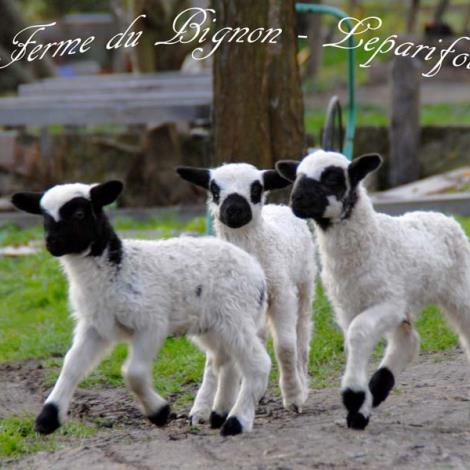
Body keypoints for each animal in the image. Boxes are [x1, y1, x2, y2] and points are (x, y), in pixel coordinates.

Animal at [11, 181, 272, 436]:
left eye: (79, 213)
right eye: (44, 218)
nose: (51, 243)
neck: (117, 266)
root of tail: (256, 270)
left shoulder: (151, 322)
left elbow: (133, 373)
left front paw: (159, 413)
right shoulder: (95, 326)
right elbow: (71, 366)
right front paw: (47, 419)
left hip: (235, 313)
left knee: (257, 363)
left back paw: (236, 422)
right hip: (210, 324)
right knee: (225, 360)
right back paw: (219, 414)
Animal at [178, 162, 318, 422]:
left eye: (256, 189)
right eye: (214, 189)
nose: (234, 209)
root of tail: (279, 207)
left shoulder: (282, 294)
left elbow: (285, 348)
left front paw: (293, 397)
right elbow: (213, 359)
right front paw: (201, 408)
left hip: (304, 286)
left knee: (301, 337)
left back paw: (301, 383)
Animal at [276, 150, 470, 430]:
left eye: (333, 177)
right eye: (298, 176)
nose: (296, 200)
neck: (372, 241)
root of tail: (443, 216)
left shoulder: (388, 302)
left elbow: (358, 334)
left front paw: (354, 397)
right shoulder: (349, 306)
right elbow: (353, 341)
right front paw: (358, 407)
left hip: (458, 288)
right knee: (408, 341)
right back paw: (375, 394)